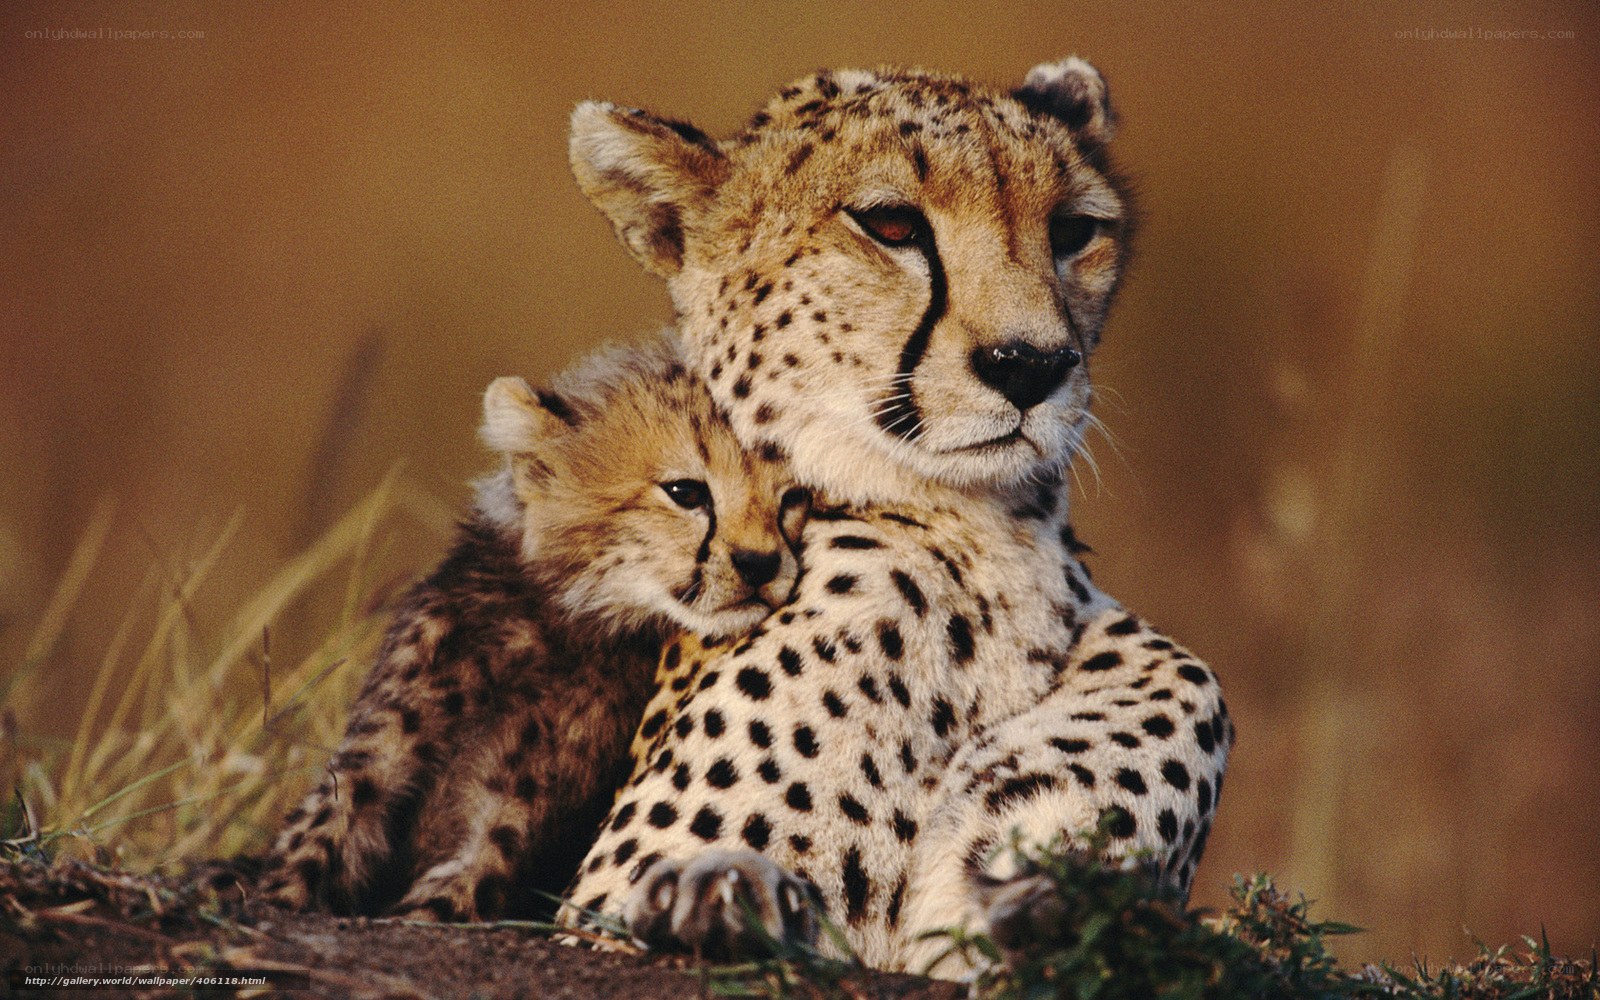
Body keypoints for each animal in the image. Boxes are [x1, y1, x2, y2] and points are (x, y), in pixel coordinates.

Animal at [260, 335, 809, 922]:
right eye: (686, 492)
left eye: (793, 498)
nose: (760, 563)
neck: (562, 625)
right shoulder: (375, 760)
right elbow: (313, 841)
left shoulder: (513, 820)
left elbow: (449, 895)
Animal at [556, 56, 1232, 976]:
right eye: (891, 224)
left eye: (1072, 230)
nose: (1030, 365)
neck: (985, 542)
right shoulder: (594, 914)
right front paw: (720, 897)